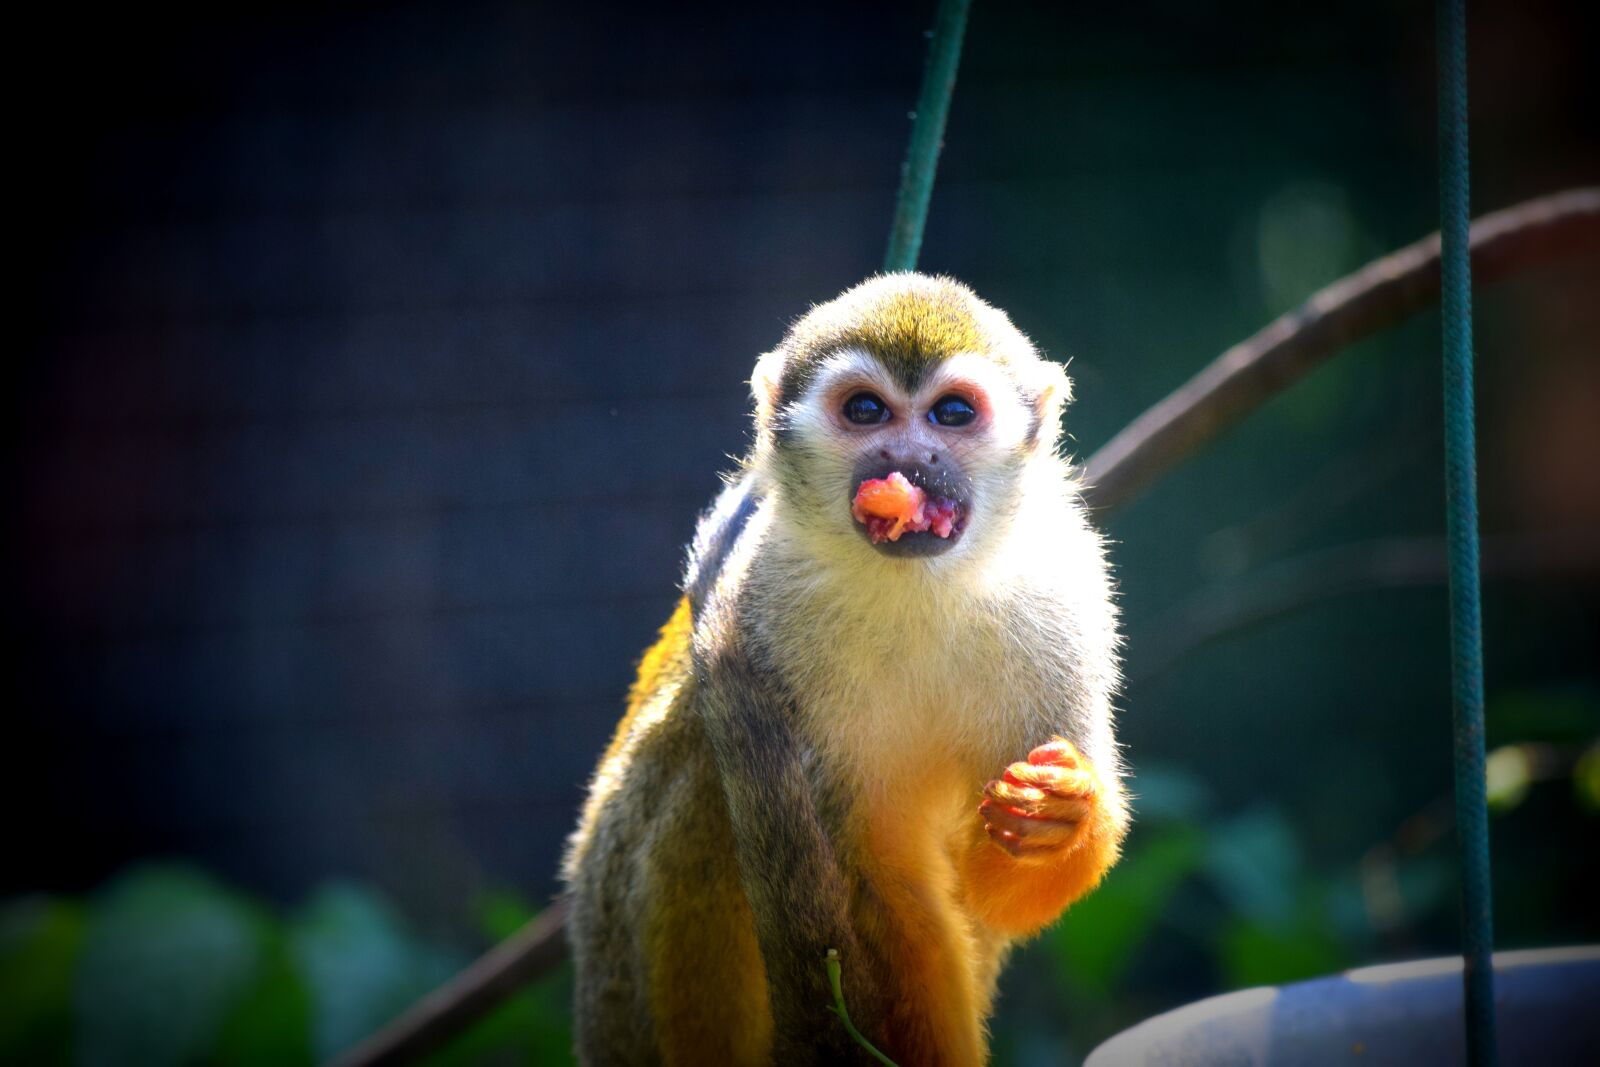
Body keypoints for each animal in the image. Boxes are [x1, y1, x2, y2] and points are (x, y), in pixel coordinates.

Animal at [562, 272, 1128, 1065]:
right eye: (866, 411)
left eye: (952, 414)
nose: (909, 458)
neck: (919, 586)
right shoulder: (764, 615)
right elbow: (880, 878)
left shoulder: (1064, 596)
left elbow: (997, 892)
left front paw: (1055, 818)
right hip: (619, 985)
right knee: (708, 772)